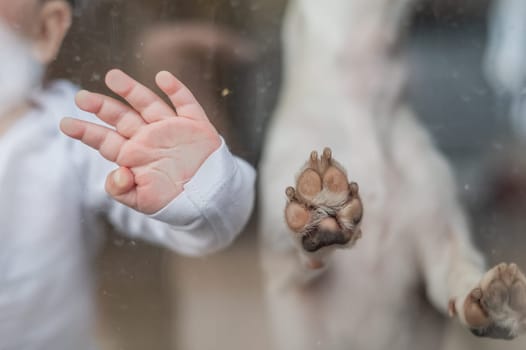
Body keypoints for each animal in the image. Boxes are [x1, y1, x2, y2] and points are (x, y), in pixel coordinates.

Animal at [258, 0, 526, 350]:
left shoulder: (442, 242)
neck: (367, 105)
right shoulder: (281, 270)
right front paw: (322, 209)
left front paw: (495, 302)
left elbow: (460, 273)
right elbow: (296, 249)